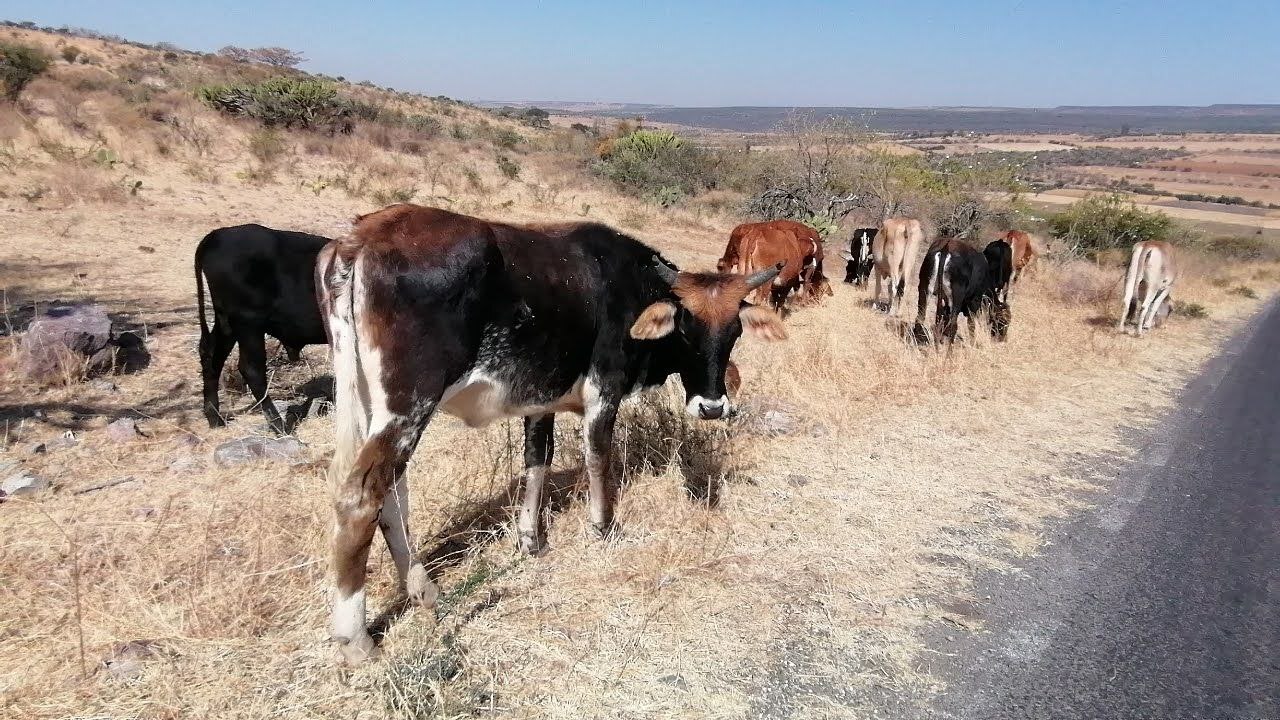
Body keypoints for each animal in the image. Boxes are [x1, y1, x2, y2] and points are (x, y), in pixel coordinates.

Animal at [194, 222, 332, 430]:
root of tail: (217, 235)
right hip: (249, 323)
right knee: (251, 369)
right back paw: (279, 426)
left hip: (227, 323)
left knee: (212, 357)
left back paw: (215, 419)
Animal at [314, 203, 783, 661]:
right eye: (686, 328)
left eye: (734, 331)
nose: (713, 407)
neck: (625, 283)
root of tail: (362, 235)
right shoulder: (604, 389)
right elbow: (598, 456)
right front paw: (602, 526)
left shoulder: (541, 399)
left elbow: (537, 459)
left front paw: (529, 539)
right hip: (409, 405)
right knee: (363, 497)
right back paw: (356, 639)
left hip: (374, 407)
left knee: (391, 495)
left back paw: (424, 590)